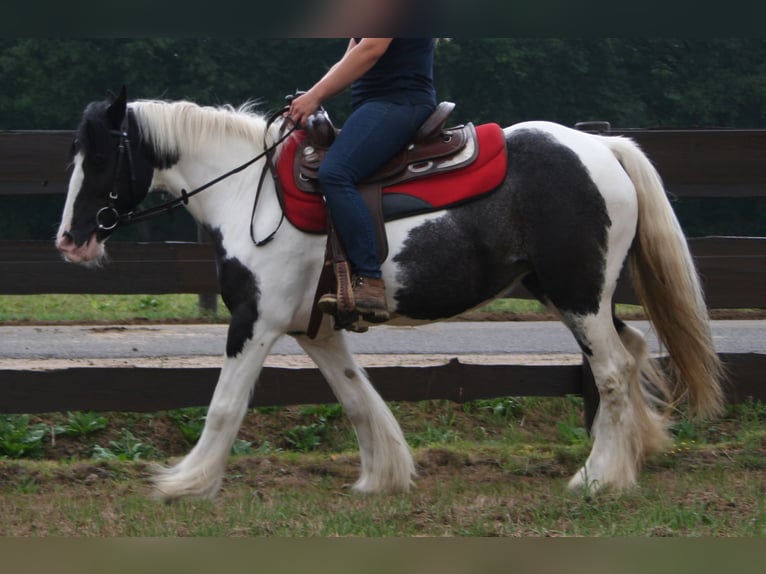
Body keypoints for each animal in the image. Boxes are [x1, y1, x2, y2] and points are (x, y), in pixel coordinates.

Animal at [55, 88, 728, 502]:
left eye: (102, 155)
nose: (70, 240)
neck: (250, 191)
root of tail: (601, 147)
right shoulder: (314, 327)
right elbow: (357, 397)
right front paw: (383, 475)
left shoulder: (255, 320)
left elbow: (225, 406)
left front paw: (185, 483)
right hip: (574, 293)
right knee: (633, 353)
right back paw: (632, 456)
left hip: (578, 295)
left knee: (611, 371)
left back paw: (598, 478)